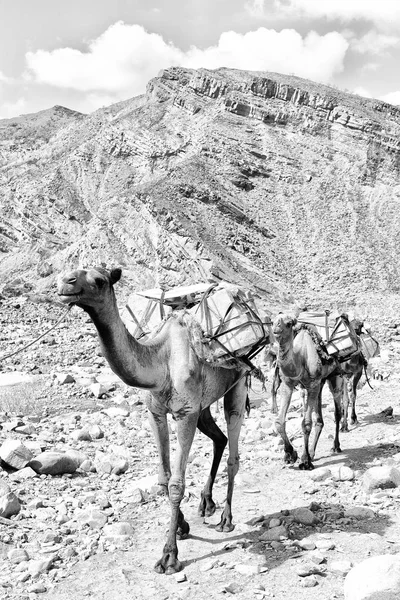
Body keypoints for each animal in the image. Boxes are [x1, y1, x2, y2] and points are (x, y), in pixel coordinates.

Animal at [57, 266, 248, 572]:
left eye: (99, 280)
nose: (66, 282)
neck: (160, 362)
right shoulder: (156, 412)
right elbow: (164, 478)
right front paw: (181, 525)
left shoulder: (185, 414)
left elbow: (176, 484)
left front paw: (169, 556)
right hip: (204, 405)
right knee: (219, 438)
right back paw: (206, 503)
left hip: (238, 384)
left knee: (233, 451)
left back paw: (226, 519)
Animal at [272, 312, 344, 472]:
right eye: (272, 321)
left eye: (288, 323)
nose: (276, 329)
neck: (301, 356)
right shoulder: (288, 385)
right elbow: (279, 421)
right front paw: (290, 454)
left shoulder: (312, 385)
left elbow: (306, 423)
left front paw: (305, 461)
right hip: (320, 383)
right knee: (320, 420)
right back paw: (312, 452)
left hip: (334, 377)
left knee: (337, 412)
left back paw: (335, 446)